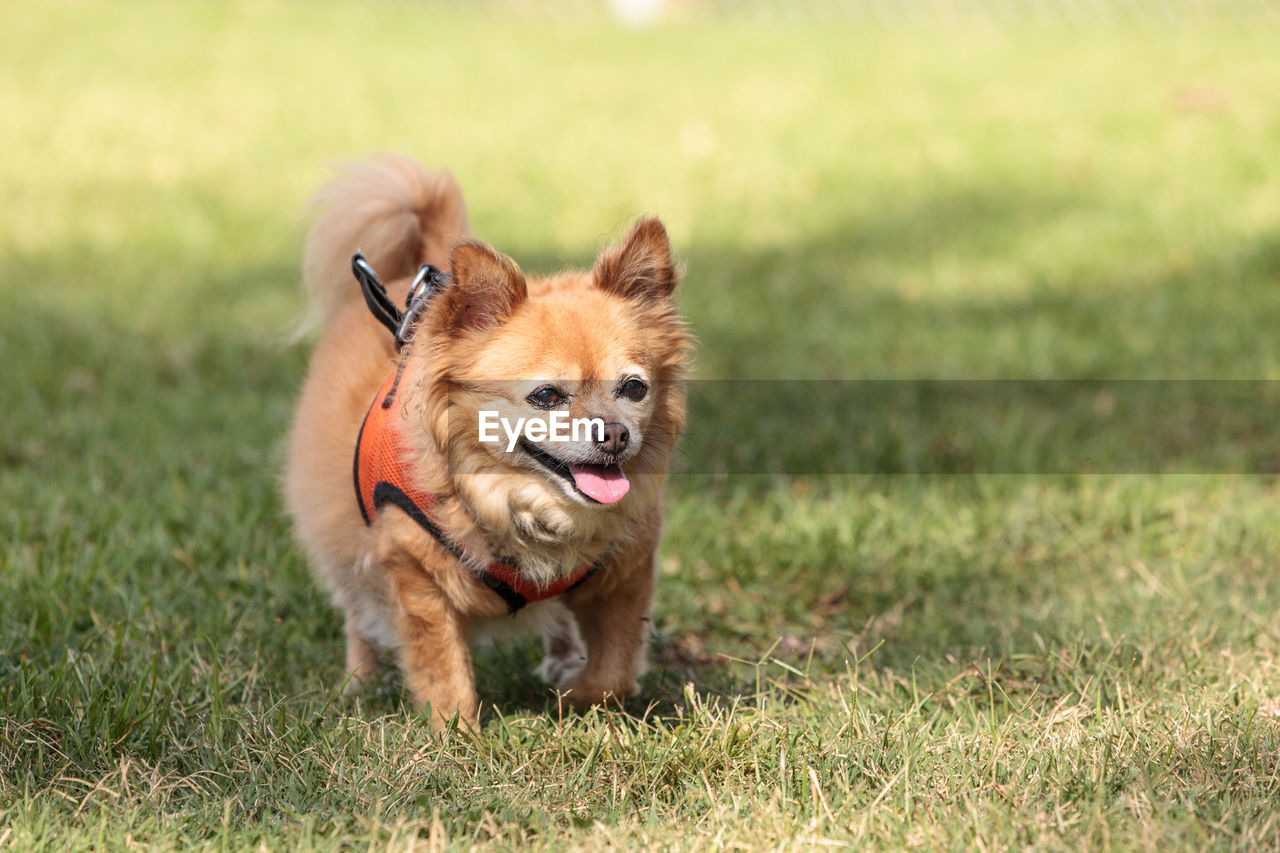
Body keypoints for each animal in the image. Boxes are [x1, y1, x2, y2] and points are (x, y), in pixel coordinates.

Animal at [286, 153, 696, 722]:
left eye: (634, 388)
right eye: (546, 396)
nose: (614, 434)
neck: (526, 505)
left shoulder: (625, 573)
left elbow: (614, 670)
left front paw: (575, 698)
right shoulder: (418, 577)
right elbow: (442, 668)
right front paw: (455, 734)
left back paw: (563, 659)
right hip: (340, 535)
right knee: (358, 612)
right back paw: (360, 681)